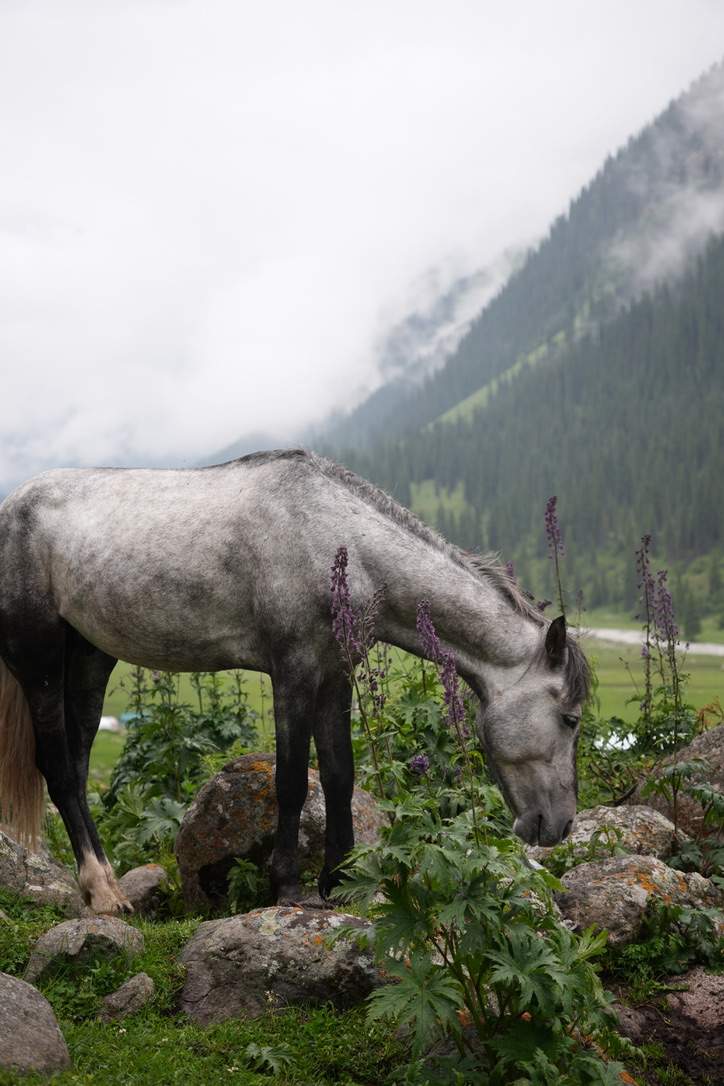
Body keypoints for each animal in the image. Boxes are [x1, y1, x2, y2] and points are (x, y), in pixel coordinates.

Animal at [0, 445, 590, 912]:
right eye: (570, 718)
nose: (560, 826)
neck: (338, 542)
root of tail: (13, 507)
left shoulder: (335, 675)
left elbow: (338, 774)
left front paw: (342, 879)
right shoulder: (294, 673)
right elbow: (290, 780)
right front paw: (287, 885)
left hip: (90, 659)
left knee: (77, 768)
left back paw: (103, 887)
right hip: (41, 662)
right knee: (58, 768)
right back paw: (102, 894)